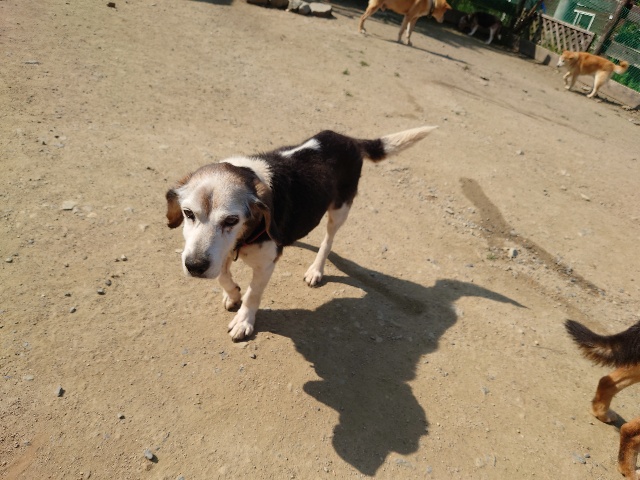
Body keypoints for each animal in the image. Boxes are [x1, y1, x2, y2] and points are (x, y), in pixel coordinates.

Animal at [166, 126, 437, 341]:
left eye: (232, 220)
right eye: (188, 213)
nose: (194, 267)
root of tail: (350, 139)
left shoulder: (265, 265)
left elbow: (253, 294)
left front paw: (244, 321)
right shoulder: (220, 252)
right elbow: (223, 275)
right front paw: (233, 293)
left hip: (339, 211)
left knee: (328, 241)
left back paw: (316, 270)